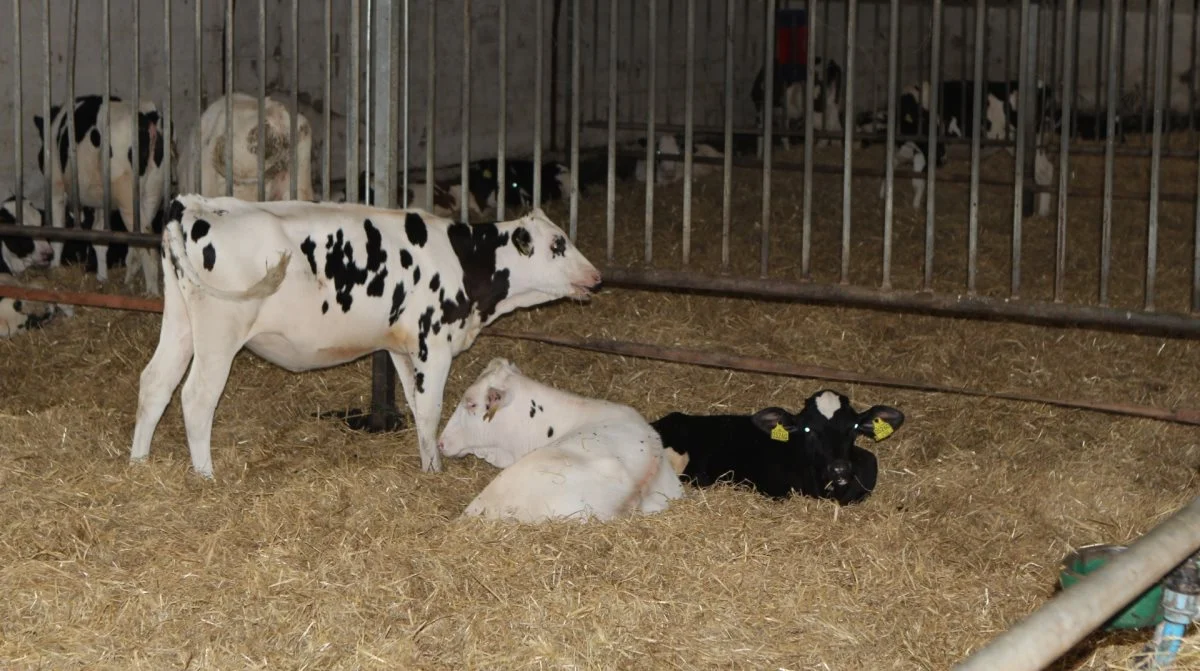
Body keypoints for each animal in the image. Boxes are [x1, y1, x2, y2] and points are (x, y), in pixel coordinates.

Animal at [33, 94, 171, 294]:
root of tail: (148, 116)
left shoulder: (56, 185)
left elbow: (58, 232)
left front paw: (54, 268)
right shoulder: (100, 201)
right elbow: (99, 236)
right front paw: (102, 277)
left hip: (127, 194)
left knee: (147, 246)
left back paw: (151, 292)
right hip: (153, 191)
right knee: (136, 245)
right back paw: (128, 283)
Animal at [132, 194, 604, 477]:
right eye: (558, 244)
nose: (597, 278)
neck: (464, 259)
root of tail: (198, 205)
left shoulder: (401, 346)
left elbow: (416, 405)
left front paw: (427, 462)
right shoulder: (435, 344)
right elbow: (431, 410)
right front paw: (433, 471)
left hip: (180, 322)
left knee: (155, 382)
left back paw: (139, 462)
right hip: (220, 330)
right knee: (197, 397)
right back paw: (205, 475)